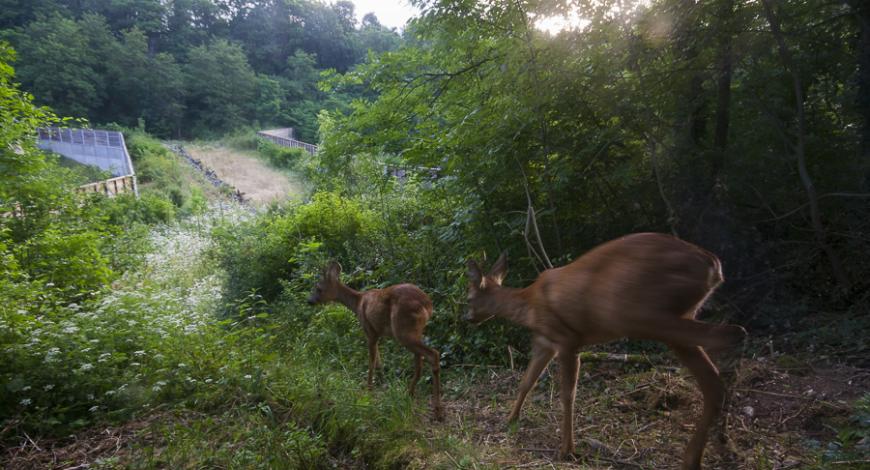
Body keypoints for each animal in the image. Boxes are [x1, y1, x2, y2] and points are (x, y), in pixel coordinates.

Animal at [308, 262, 446, 420]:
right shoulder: (378, 333)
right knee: (420, 362)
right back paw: (410, 394)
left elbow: (371, 362)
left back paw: (437, 410)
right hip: (415, 331)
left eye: (318, 288)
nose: (309, 301)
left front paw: (368, 389)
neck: (357, 303)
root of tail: (427, 304)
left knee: (433, 354)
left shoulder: (370, 330)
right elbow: (379, 361)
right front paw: (384, 383)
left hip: (403, 330)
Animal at [466, 233, 744, 468]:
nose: (465, 317)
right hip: (677, 315)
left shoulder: (567, 340)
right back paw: (699, 455)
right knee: (713, 380)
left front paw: (566, 449)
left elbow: (568, 394)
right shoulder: (545, 342)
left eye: (468, 298)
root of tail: (713, 266)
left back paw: (720, 442)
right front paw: (510, 419)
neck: (529, 306)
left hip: (644, 313)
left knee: (733, 334)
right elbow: (527, 382)